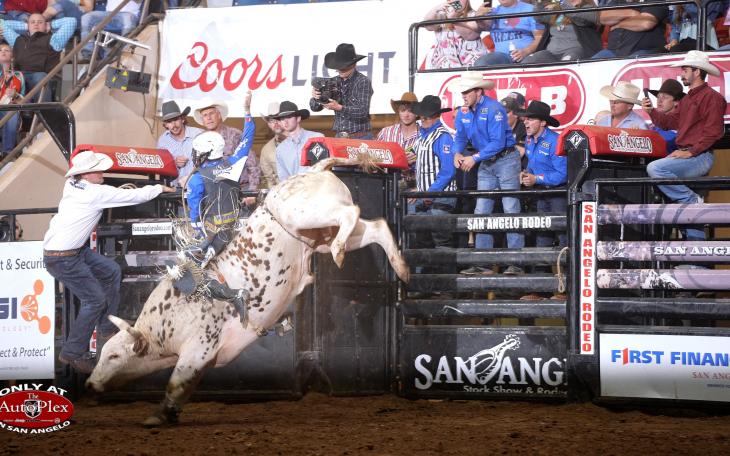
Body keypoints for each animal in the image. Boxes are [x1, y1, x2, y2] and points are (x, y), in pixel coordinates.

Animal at [85, 157, 410, 427]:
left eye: (113, 355)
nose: (88, 384)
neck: (167, 319)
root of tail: (314, 170)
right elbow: (184, 389)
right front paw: (169, 414)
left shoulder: (198, 350)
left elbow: (176, 384)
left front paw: (158, 416)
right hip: (319, 234)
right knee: (377, 227)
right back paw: (400, 267)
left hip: (308, 215)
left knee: (350, 212)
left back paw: (342, 252)